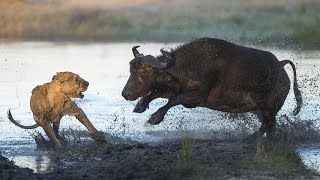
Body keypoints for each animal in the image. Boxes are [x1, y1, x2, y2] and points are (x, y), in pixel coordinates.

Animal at [122, 37, 302, 139]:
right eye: (131, 68)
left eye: (143, 71)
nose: (126, 94)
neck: (188, 65)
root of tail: (280, 65)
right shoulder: (175, 88)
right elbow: (156, 93)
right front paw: (140, 106)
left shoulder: (196, 97)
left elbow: (173, 100)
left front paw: (155, 118)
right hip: (260, 110)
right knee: (270, 127)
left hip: (268, 110)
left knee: (268, 125)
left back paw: (247, 139)